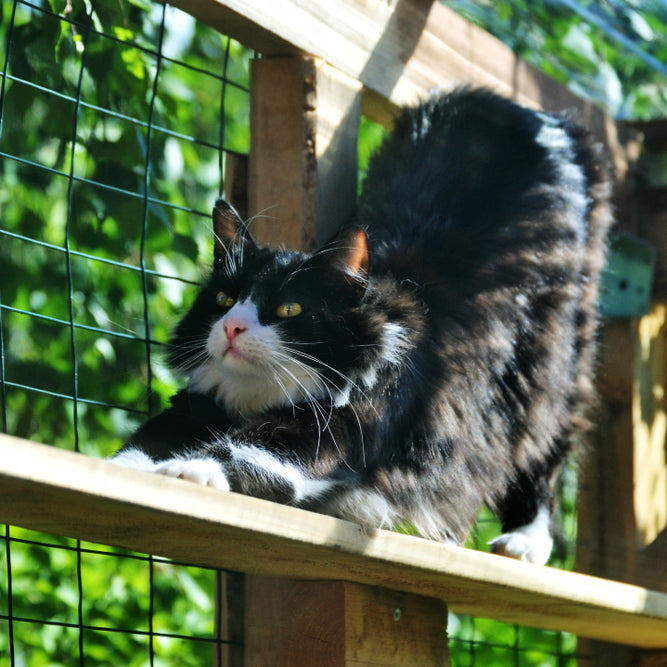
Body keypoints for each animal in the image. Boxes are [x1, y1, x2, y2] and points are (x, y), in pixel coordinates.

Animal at [113, 86, 612, 568]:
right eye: (224, 300)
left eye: (289, 309)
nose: (233, 328)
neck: (261, 397)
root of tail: (535, 113)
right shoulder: (196, 405)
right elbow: (146, 440)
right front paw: (128, 467)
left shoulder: (330, 431)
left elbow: (242, 451)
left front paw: (186, 470)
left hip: (547, 364)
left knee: (546, 450)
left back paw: (524, 542)